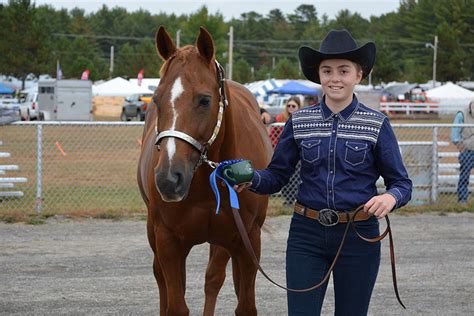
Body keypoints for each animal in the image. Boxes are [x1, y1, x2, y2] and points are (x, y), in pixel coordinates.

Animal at [137, 27, 270, 316]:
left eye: (204, 100)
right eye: (156, 100)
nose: (168, 178)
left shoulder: (247, 240)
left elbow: (243, 303)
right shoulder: (168, 241)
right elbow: (175, 304)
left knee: (214, 279)